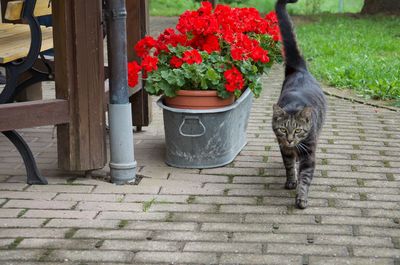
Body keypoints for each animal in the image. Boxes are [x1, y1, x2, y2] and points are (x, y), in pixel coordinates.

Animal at [272, 0, 328, 208]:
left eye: (297, 130)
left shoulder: (309, 153)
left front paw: (301, 197)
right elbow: (289, 166)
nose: (289, 139)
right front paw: (291, 181)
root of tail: (299, 69)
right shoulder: (284, 149)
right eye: (283, 129)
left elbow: (305, 177)